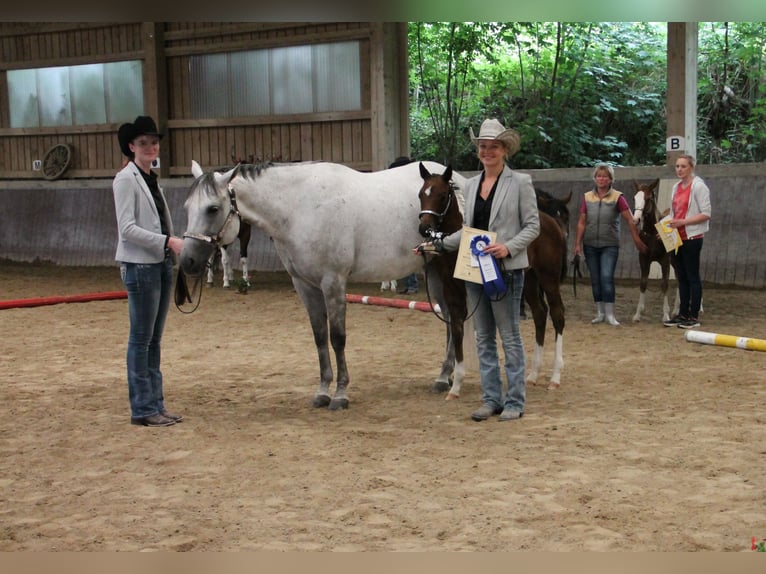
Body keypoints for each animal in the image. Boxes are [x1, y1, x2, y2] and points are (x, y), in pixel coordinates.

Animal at [181, 159, 467, 410]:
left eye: (212, 208)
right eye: (187, 207)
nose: (187, 261)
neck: (300, 208)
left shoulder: (333, 282)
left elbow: (337, 338)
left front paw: (340, 394)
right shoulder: (304, 285)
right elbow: (319, 337)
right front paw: (322, 392)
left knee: (454, 318)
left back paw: (448, 377)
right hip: (433, 272)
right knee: (450, 319)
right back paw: (445, 376)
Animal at [631, 178, 673, 323]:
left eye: (648, 198)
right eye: (634, 198)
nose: (635, 219)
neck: (653, 233)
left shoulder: (665, 260)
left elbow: (664, 284)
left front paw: (666, 315)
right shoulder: (643, 259)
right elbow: (643, 283)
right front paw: (638, 314)